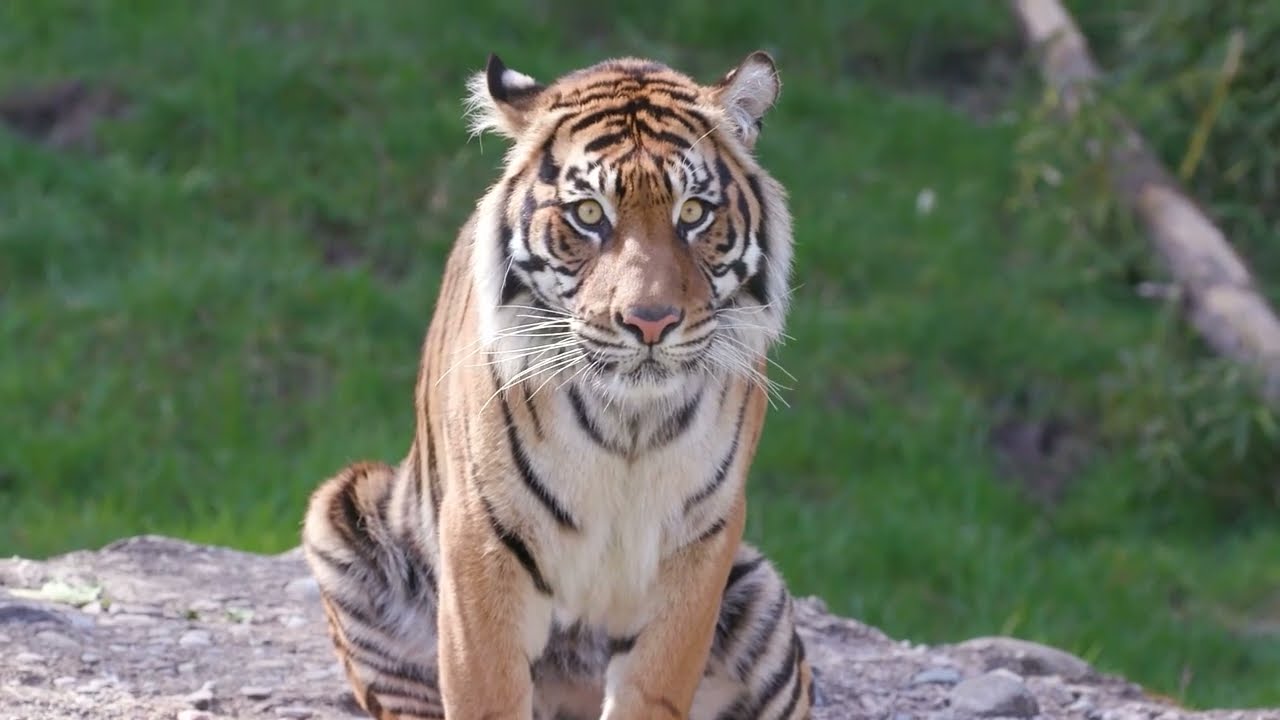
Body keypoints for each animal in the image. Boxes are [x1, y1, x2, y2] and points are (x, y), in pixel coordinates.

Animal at [301, 50, 812, 720]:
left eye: (694, 214)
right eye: (589, 214)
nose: (650, 321)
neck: (630, 425)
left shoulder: (701, 544)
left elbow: (652, 689)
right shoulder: (482, 539)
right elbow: (487, 693)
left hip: (764, 603)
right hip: (343, 518)